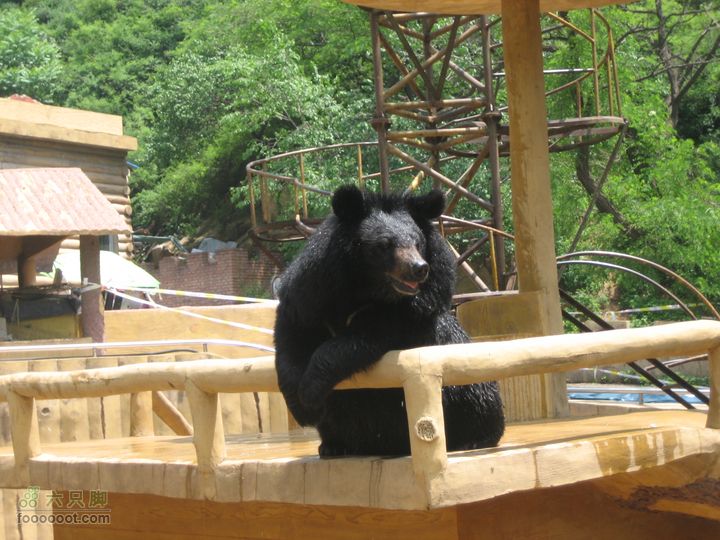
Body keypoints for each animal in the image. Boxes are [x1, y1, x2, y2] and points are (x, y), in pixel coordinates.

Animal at [274, 184, 505, 456]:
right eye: (384, 244)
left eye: (418, 242)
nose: (419, 268)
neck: (367, 291)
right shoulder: (311, 290)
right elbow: (292, 333)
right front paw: (303, 407)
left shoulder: (414, 311)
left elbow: (361, 339)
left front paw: (310, 391)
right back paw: (333, 446)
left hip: (468, 391)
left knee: (476, 395)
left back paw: (475, 439)